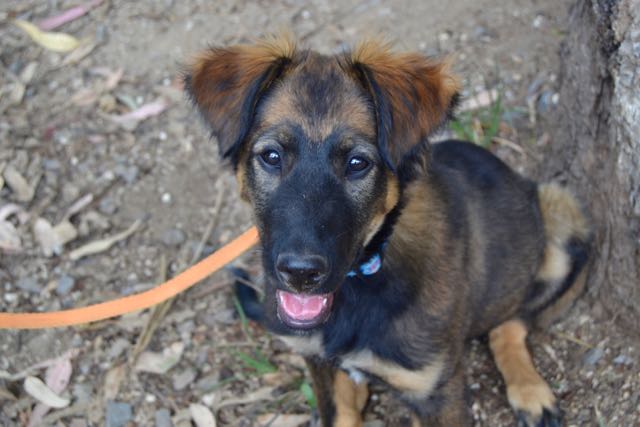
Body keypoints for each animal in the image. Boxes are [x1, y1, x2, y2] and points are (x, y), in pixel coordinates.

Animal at [185, 35, 591, 426]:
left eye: (357, 163)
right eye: (271, 157)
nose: (300, 273)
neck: (364, 274)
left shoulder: (436, 393)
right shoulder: (318, 362)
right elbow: (339, 413)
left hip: (563, 217)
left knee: (512, 321)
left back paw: (529, 391)